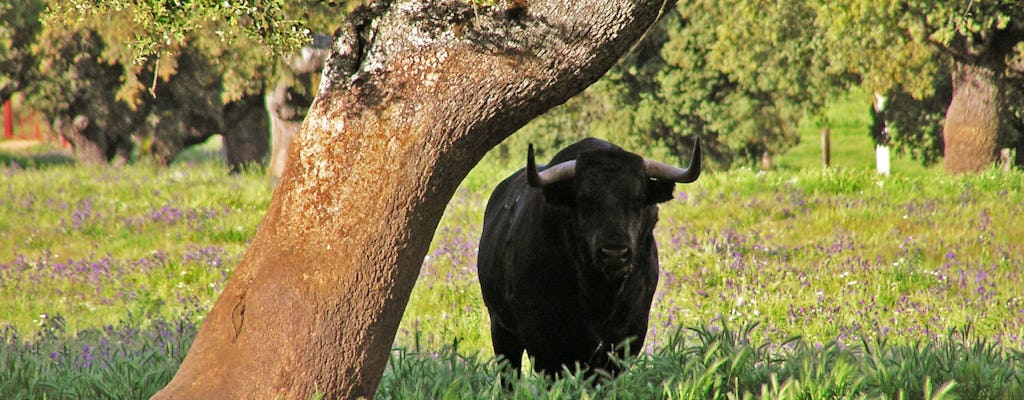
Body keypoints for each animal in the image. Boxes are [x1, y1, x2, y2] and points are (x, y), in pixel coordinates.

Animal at [475, 138, 700, 378]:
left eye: (639, 198)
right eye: (584, 199)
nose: (614, 254)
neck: (599, 296)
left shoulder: (628, 334)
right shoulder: (542, 340)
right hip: (501, 329)